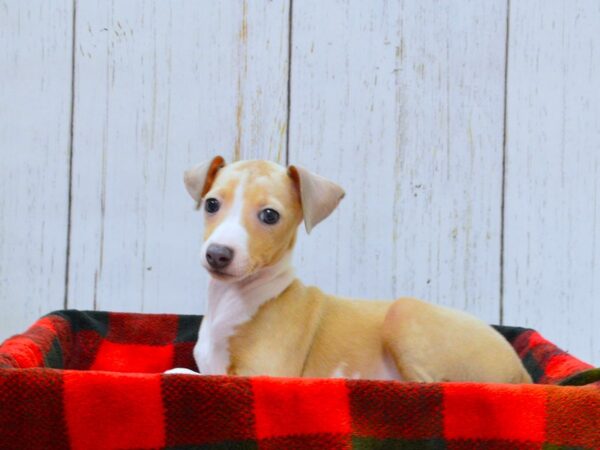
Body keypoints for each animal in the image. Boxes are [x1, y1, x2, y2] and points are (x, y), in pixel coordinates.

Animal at [171, 156, 532, 384]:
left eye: (270, 215)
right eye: (211, 204)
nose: (218, 254)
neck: (235, 301)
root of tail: (521, 372)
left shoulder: (265, 372)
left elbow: (184, 373)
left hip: (404, 313)